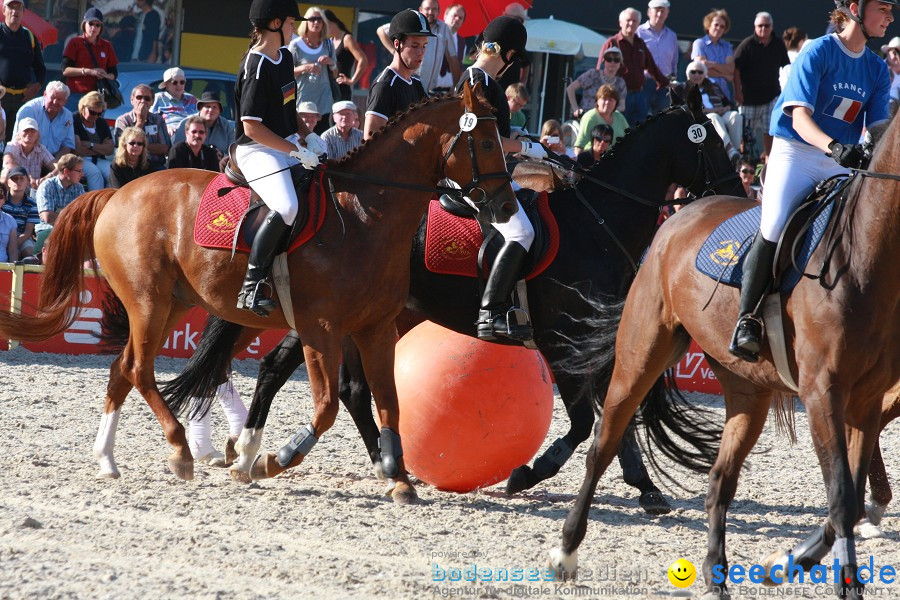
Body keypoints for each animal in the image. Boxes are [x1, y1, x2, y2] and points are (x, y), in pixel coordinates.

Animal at [0, 82, 516, 504]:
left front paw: (401, 480)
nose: (507, 207)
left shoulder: (375, 329)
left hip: (173, 305)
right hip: (148, 302)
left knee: (121, 370)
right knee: (140, 370)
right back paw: (180, 449)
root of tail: (117, 194)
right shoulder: (320, 329)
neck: (365, 216)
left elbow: (388, 401)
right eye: (487, 142)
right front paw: (272, 460)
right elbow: (327, 407)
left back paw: (108, 460)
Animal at [162, 85, 744, 506]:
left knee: (317, 378)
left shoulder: (590, 342)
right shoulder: (561, 341)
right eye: (711, 142)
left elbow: (611, 415)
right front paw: (528, 474)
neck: (596, 223)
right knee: (314, 378)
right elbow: (584, 420)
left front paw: (645, 487)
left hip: (361, 319)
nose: (735, 197)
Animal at [548, 106, 900, 596]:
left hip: (748, 391)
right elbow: (841, 498)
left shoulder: (865, 401)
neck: (868, 254)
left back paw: (717, 575)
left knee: (720, 480)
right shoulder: (822, 392)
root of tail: (680, 215)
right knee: (604, 440)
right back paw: (566, 550)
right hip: (642, 352)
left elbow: (845, 498)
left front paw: (787, 563)